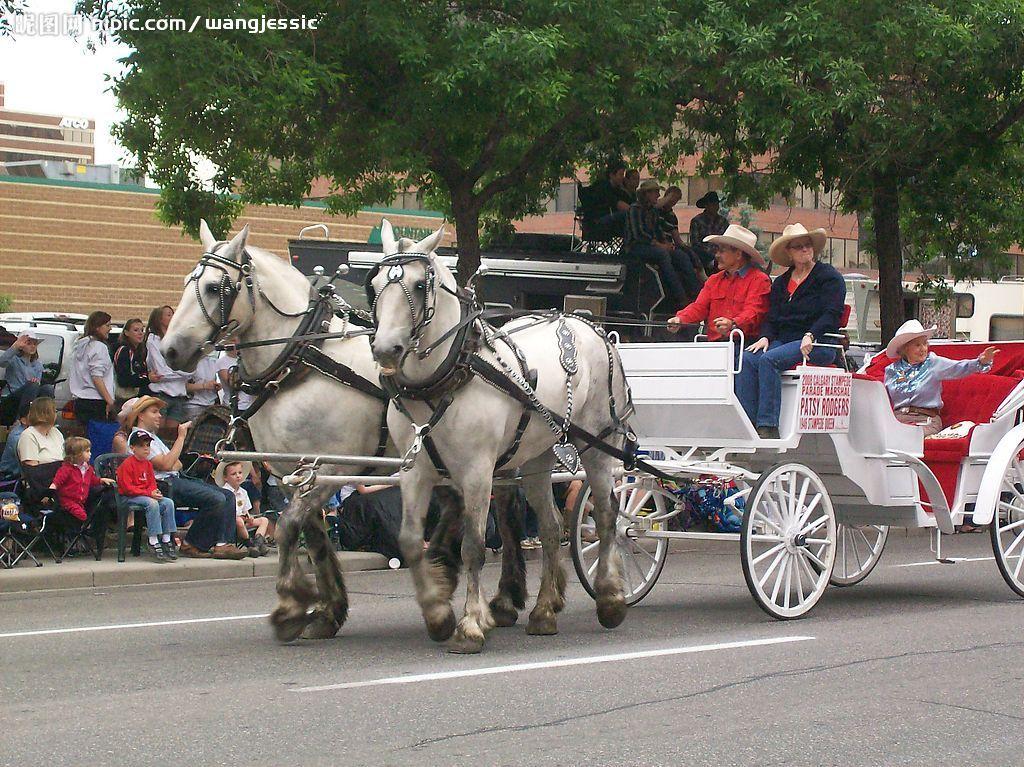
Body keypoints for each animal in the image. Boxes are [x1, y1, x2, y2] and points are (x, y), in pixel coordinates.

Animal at [161, 220, 528, 638]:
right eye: (187, 282)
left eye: (214, 287)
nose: (171, 350)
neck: (301, 365)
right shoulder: (293, 473)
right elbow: (313, 536)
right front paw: (327, 610)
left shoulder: (331, 466)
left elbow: (288, 527)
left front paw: (292, 606)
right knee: (463, 504)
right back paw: (447, 574)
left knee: (507, 509)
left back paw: (502, 597)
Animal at [368, 218, 630, 651]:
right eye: (374, 284)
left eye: (420, 285)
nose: (385, 349)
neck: (449, 375)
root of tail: (586, 323)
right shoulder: (414, 470)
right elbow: (409, 540)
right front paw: (437, 613)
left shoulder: (477, 471)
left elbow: (473, 546)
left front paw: (470, 625)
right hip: (539, 455)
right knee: (551, 526)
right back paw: (543, 611)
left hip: (597, 444)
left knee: (607, 515)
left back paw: (610, 599)